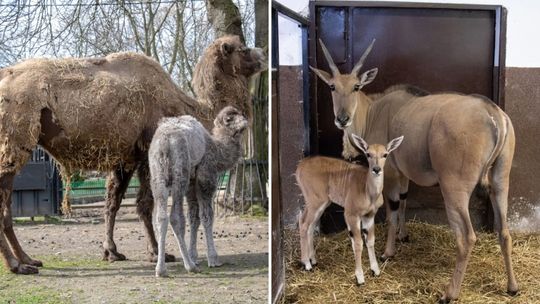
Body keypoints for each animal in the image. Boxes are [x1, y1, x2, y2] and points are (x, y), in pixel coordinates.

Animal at [149, 105, 248, 276]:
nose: (245, 122)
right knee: (175, 217)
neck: (216, 147)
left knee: (160, 217)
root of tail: (165, 142)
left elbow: (194, 217)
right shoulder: (205, 177)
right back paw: (189, 266)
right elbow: (206, 216)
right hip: (180, 173)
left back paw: (161, 269)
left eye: (240, 114)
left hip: (157, 176)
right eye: (229, 118)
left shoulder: (191, 184)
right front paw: (213, 259)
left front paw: (194, 255)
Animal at [296, 135, 400, 284]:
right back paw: (306, 264)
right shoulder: (351, 214)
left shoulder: (369, 215)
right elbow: (358, 243)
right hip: (315, 202)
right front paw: (360, 278)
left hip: (321, 204)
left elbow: (370, 240)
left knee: (309, 225)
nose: (376, 169)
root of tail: (300, 167)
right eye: (368, 154)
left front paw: (375, 270)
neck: (368, 191)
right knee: (304, 223)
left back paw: (313, 260)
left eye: (385, 154)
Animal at [312, 39, 520, 302]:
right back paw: (512, 287)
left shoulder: (389, 172)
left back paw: (449, 293)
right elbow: (403, 201)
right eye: (332, 86)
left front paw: (388, 252)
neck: (374, 110)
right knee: (504, 232)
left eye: (356, 87)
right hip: (501, 183)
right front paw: (404, 236)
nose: (342, 119)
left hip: (454, 189)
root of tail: (492, 112)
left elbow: (391, 211)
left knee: (466, 237)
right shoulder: (403, 176)